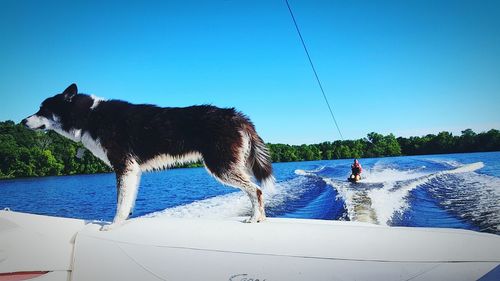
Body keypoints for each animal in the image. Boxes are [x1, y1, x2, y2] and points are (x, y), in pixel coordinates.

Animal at [22, 82, 274, 228]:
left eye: (43, 109)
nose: (22, 121)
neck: (89, 115)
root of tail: (236, 115)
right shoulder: (132, 170)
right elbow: (128, 200)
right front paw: (124, 221)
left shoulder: (123, 166)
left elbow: (120, 202)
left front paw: (113, 225)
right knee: (254, 190)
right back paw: (260, 218)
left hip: (221, 165)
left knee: (256, 190)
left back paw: (255, 218)